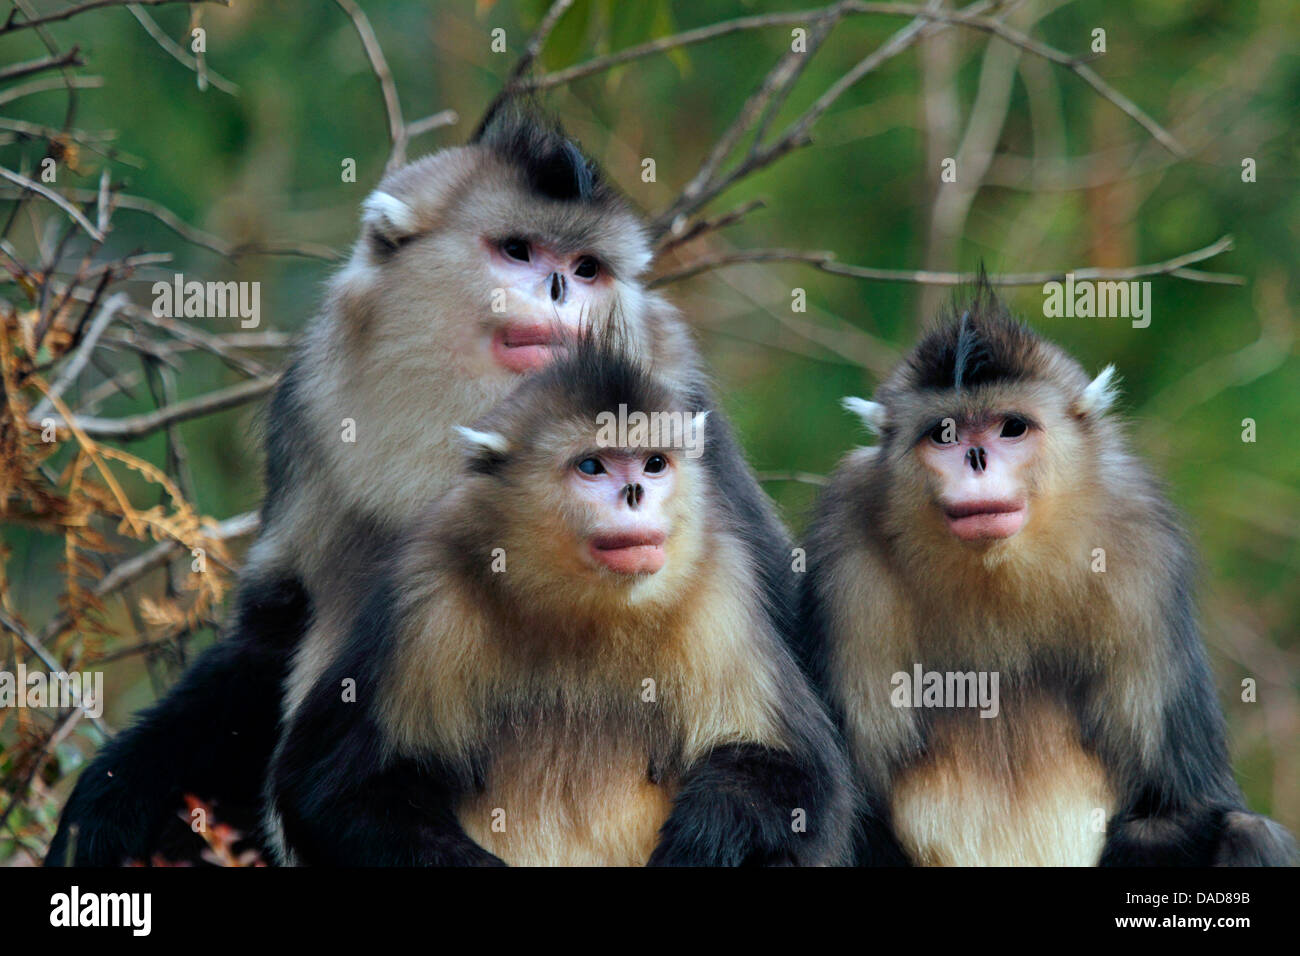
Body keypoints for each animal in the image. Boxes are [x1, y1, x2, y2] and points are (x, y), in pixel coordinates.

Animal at [264, 338, 852, 866]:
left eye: (654, 463)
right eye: (592, 467)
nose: (635, 493)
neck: (583, 611)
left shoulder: (720, 594)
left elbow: (797, 773)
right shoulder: (427, 591)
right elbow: (327, 790)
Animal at [798, 281, 1298, 867]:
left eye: (1011, 428)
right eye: (944, 434)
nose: (975, 459)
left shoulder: (1143, 552)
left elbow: (1177, 805)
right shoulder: (845, 555)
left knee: (1251, 834)